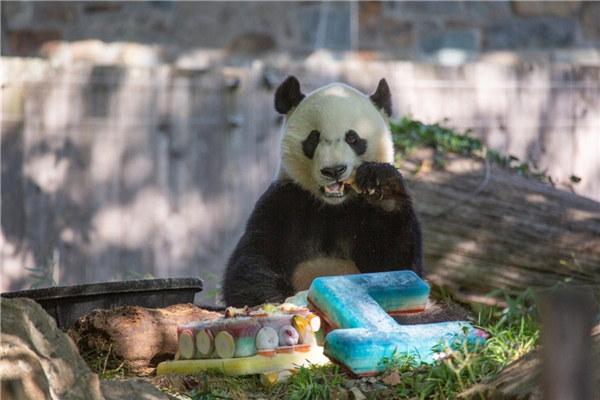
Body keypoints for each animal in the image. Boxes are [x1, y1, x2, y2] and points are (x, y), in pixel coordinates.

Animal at [223, 76, 424, 306]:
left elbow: (397, 266)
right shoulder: (284, 201)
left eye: (353, 138)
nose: (334, 170)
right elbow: (252, 262)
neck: (332, 206)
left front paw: (382, 188)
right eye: (313, 138)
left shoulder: (366, 216)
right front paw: (273, 300)